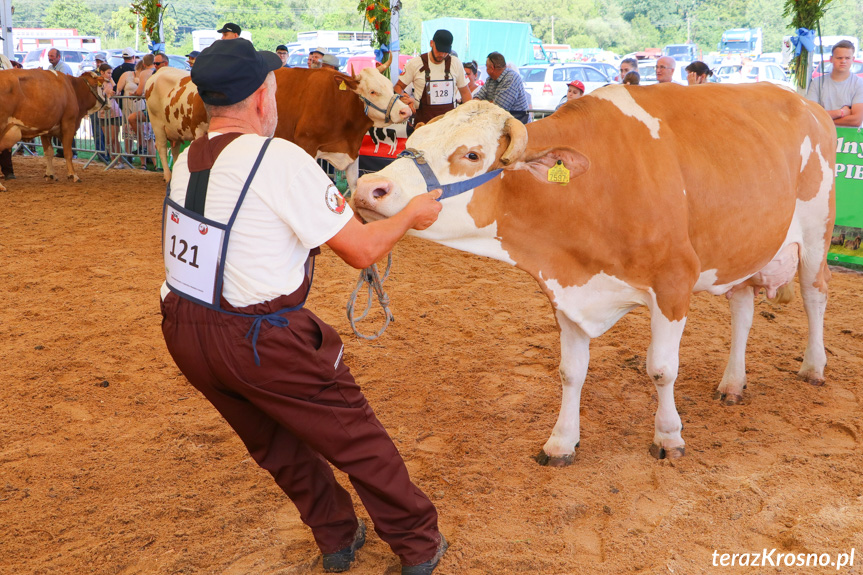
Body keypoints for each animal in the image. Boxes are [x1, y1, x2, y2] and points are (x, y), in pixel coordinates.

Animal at [143, 66, 412, 186]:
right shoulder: (306, 145)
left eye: (390, 85)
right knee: (162, 147)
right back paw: (168, 176)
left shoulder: (350, 152)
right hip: (162, 125)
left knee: (175, 148)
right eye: (373, 91)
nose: (405, 110)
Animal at [354, 83, 840, 466]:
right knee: (742, 307)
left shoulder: (674, 281)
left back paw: (813, 367)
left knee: (815, 296)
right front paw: (561, 442)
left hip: (817, 232)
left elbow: (661, 369)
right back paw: (733, 383)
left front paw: (669, 436)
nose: (366, 188)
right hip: (747, 244)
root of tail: (807, 103)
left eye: (472, 154)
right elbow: (571, 372)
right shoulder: (567, 291)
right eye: (416, 137)